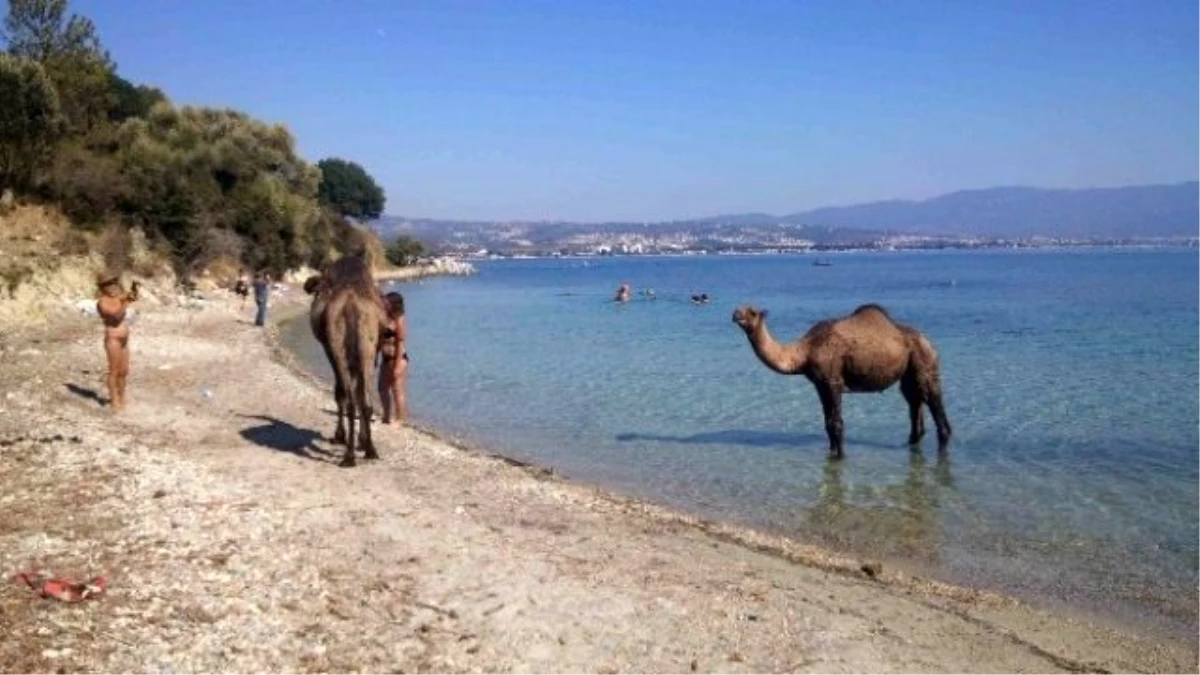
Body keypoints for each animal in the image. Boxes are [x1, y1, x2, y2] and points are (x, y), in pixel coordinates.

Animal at [724, 303, 950, 456]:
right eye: (739, 309)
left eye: (752, 312)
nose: (735, 314)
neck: (805, 351)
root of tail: (930, 342)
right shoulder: (820, 385)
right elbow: (827, 423)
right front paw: (832, 453)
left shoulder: (832, 381)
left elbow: (837, 423)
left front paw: (840, 457)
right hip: (908, 373)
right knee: (914, 403)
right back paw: (910, 443)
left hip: (925, 362)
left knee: (934, 403)